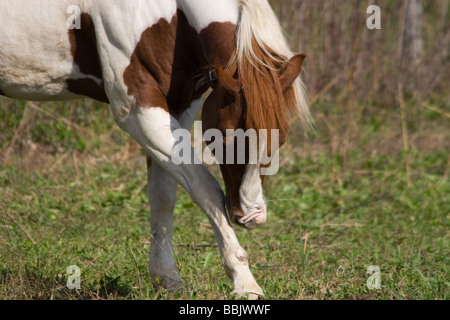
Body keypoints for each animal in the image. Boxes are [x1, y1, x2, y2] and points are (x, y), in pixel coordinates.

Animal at [0, 0, 312, 300]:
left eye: (281, 139)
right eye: (224, 138)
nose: (252, 216)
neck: (167, 12)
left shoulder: (178, 106)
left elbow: (164, 193)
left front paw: (167, 278)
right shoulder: (139, 111)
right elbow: (205, 189)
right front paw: (245, 283)